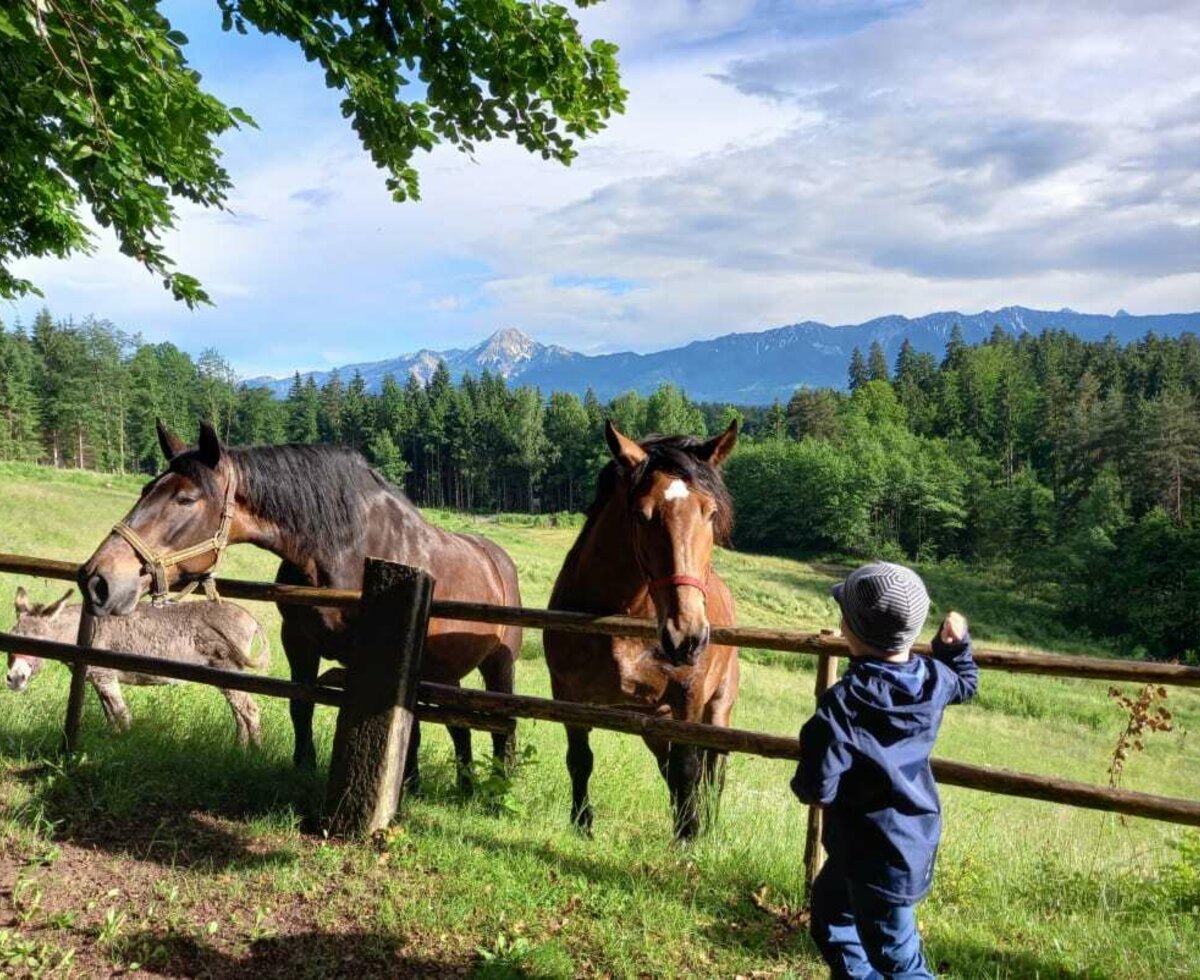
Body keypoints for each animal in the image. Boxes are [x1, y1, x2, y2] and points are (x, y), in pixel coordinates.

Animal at [77, 419, 523, 786]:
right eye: (145, 489)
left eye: (185, 499)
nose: (97, 579)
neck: (348, 551)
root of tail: (499, 560)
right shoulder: (299, 643)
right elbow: (301, 705)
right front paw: (303, 767)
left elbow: (392, 723)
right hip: (445, 674)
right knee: (458, 726)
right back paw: (464, 784)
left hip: (498, 664)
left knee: (501, 721)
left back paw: (495, 786)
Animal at [547, 419, 739, 839]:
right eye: (641, 514)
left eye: (710, 512)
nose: (687, 637)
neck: (625, 618)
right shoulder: (568, 696)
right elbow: (579, 758)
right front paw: (582, 825)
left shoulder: (688, 701)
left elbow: (689, 769)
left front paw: (689, 835)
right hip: (654, 723)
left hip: (717, 707)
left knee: (713, 769)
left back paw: (708, 824)